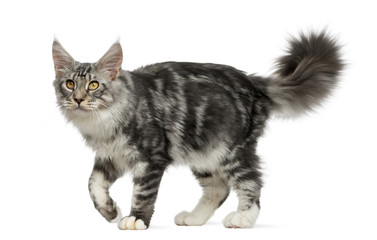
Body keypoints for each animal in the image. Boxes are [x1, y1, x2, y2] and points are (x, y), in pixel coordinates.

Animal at [51, 31, 342, 230]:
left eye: (93, 86)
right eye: (69, 84)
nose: (78, 99)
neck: (103, 121)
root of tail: (253, 80)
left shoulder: (151, 157)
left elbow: (143, 193)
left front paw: (136, 219)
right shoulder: (110, 157)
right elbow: (93, 184)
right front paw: (110, 211)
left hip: (234, 150)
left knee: (251, 183)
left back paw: (243, 217)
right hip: (204, 153)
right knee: (218, 189)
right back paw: (194, 218)